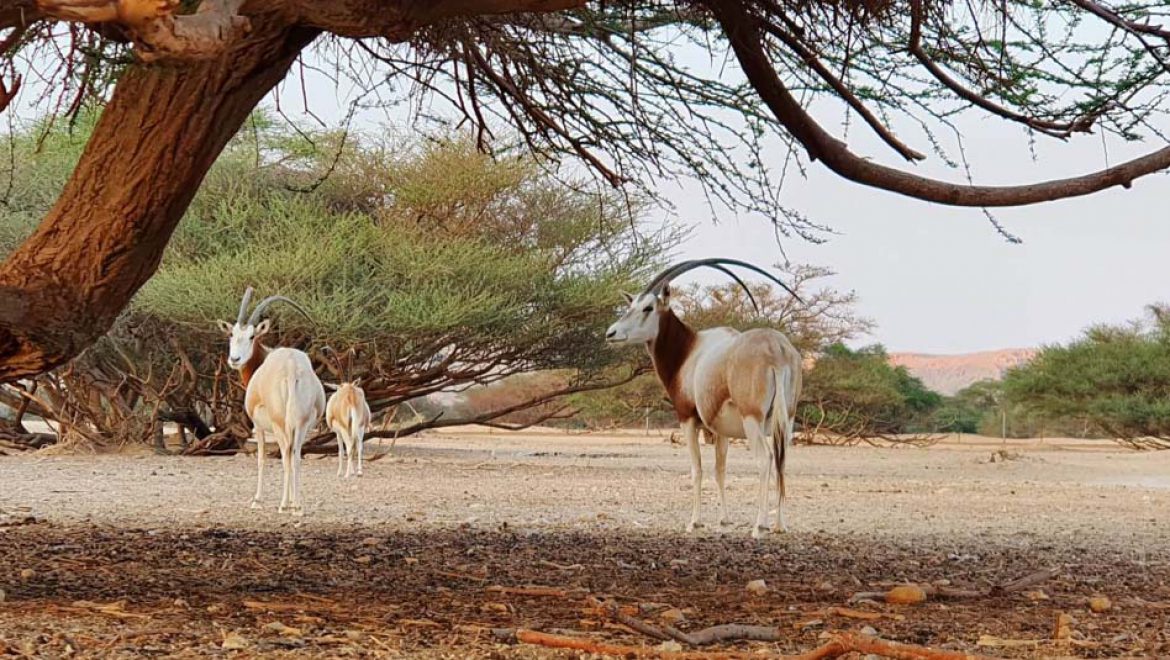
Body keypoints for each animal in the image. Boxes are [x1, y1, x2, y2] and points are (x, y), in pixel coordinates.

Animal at [219, 289, 325, 514]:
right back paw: (297, 505)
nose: (235, 360)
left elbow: (261, 458)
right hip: (302, 423)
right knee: (295, 454)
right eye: (232, 334)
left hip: (279, 423)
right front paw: (294, 501)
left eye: (252, 336)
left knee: (286, 454)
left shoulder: (257, 425)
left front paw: (257, 500)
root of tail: (291, 366)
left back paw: (284, 504)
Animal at [603, 257, 804, 535]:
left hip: (752, 419)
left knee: (765, 459)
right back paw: (779, 525)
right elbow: (720, 469)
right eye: (631, 305)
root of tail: (778, 350)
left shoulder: (687, 419)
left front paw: (694, 521)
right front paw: (724, 519)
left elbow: (696, 468)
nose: (611, 333)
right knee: (782, 460)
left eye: (648, 308)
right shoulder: (721, 430)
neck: (689, 350)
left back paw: (759, 526)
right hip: (787, 419)